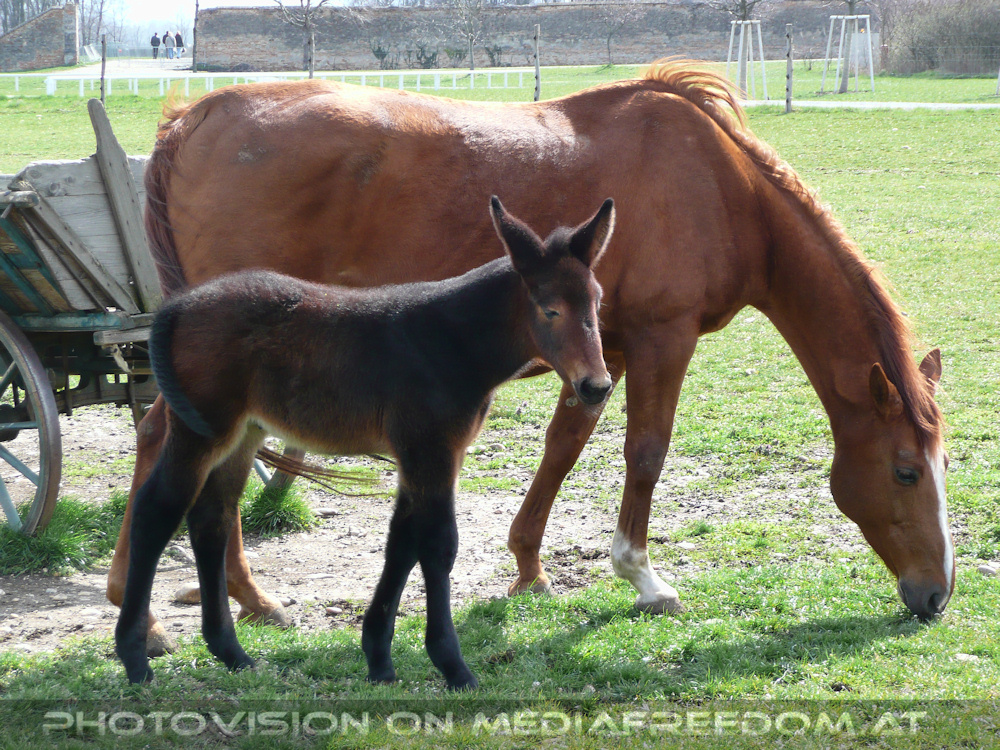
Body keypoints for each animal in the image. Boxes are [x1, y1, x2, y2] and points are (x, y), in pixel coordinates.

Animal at [114, 197, 616, 688]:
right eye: (550, 309)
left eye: (596, 303)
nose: (596, 386)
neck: (452, 341)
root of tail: (178, 307)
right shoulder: (430, 449)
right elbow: (438, 544)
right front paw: (452, 666)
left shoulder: (420, 456)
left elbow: (401, 543)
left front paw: (378, 658)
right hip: (202, 429)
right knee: (156, 510)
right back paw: (136, 656)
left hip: (244, 434)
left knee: (211, 518)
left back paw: (231, 653)